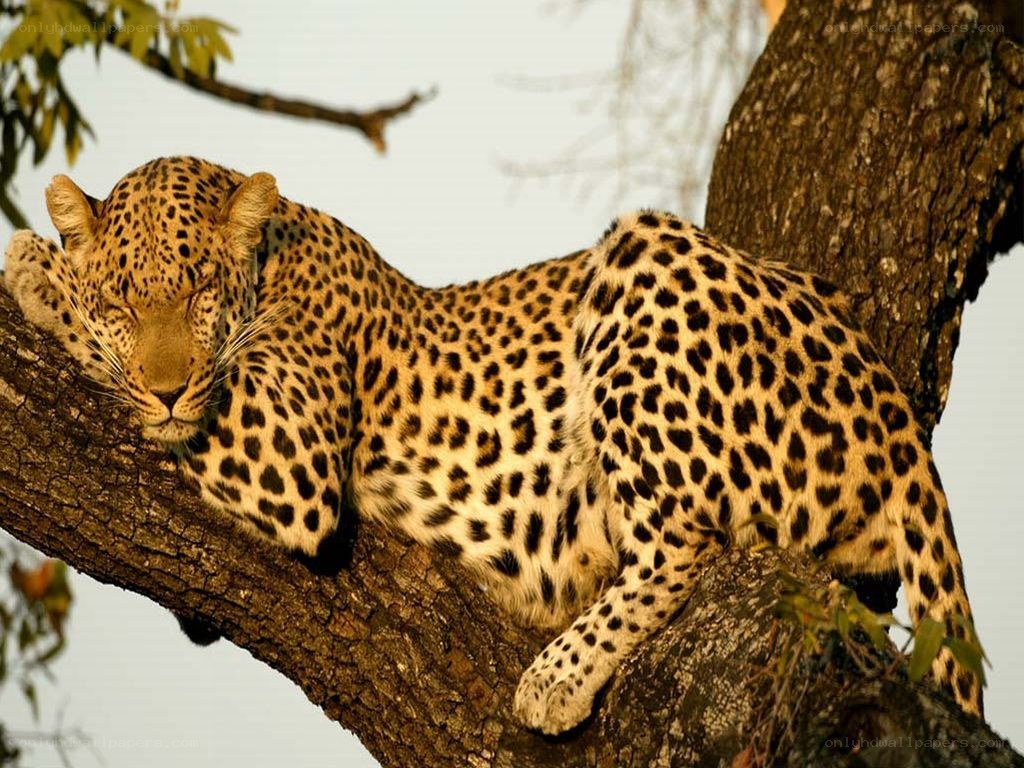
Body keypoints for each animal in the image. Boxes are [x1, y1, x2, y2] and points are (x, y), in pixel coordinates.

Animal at [3, 156, 982, 734]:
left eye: (199, 288)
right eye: (124, 299)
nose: (167, 388)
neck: (279, 252)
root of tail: (893, 408)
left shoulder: (294, 452)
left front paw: (33, 267)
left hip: (643, 257)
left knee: (685, 544)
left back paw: (556, 677)